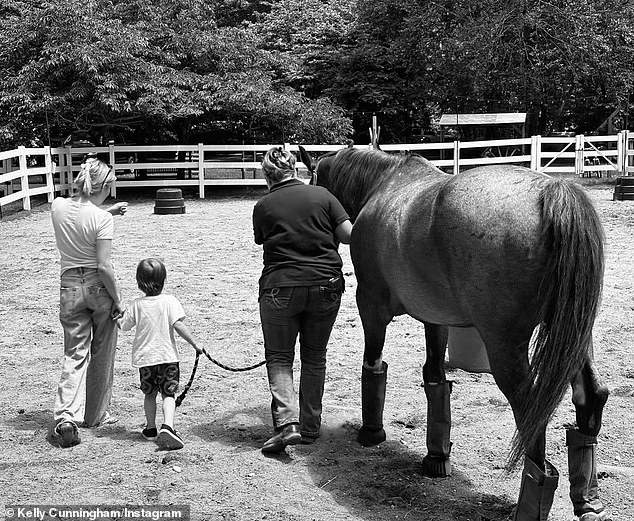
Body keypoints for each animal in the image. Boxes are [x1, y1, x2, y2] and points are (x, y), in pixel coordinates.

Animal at [298, 145, 608, 520]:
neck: (384, 186)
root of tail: (552, 191)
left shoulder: (371, 306)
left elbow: (373, 364)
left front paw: (371, 432)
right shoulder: (436, 318)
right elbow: (434, 378)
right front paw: (436, 457)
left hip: (506, 347)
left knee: (532, 411)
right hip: (575, 337)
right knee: (591, 394)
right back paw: (587, 499)